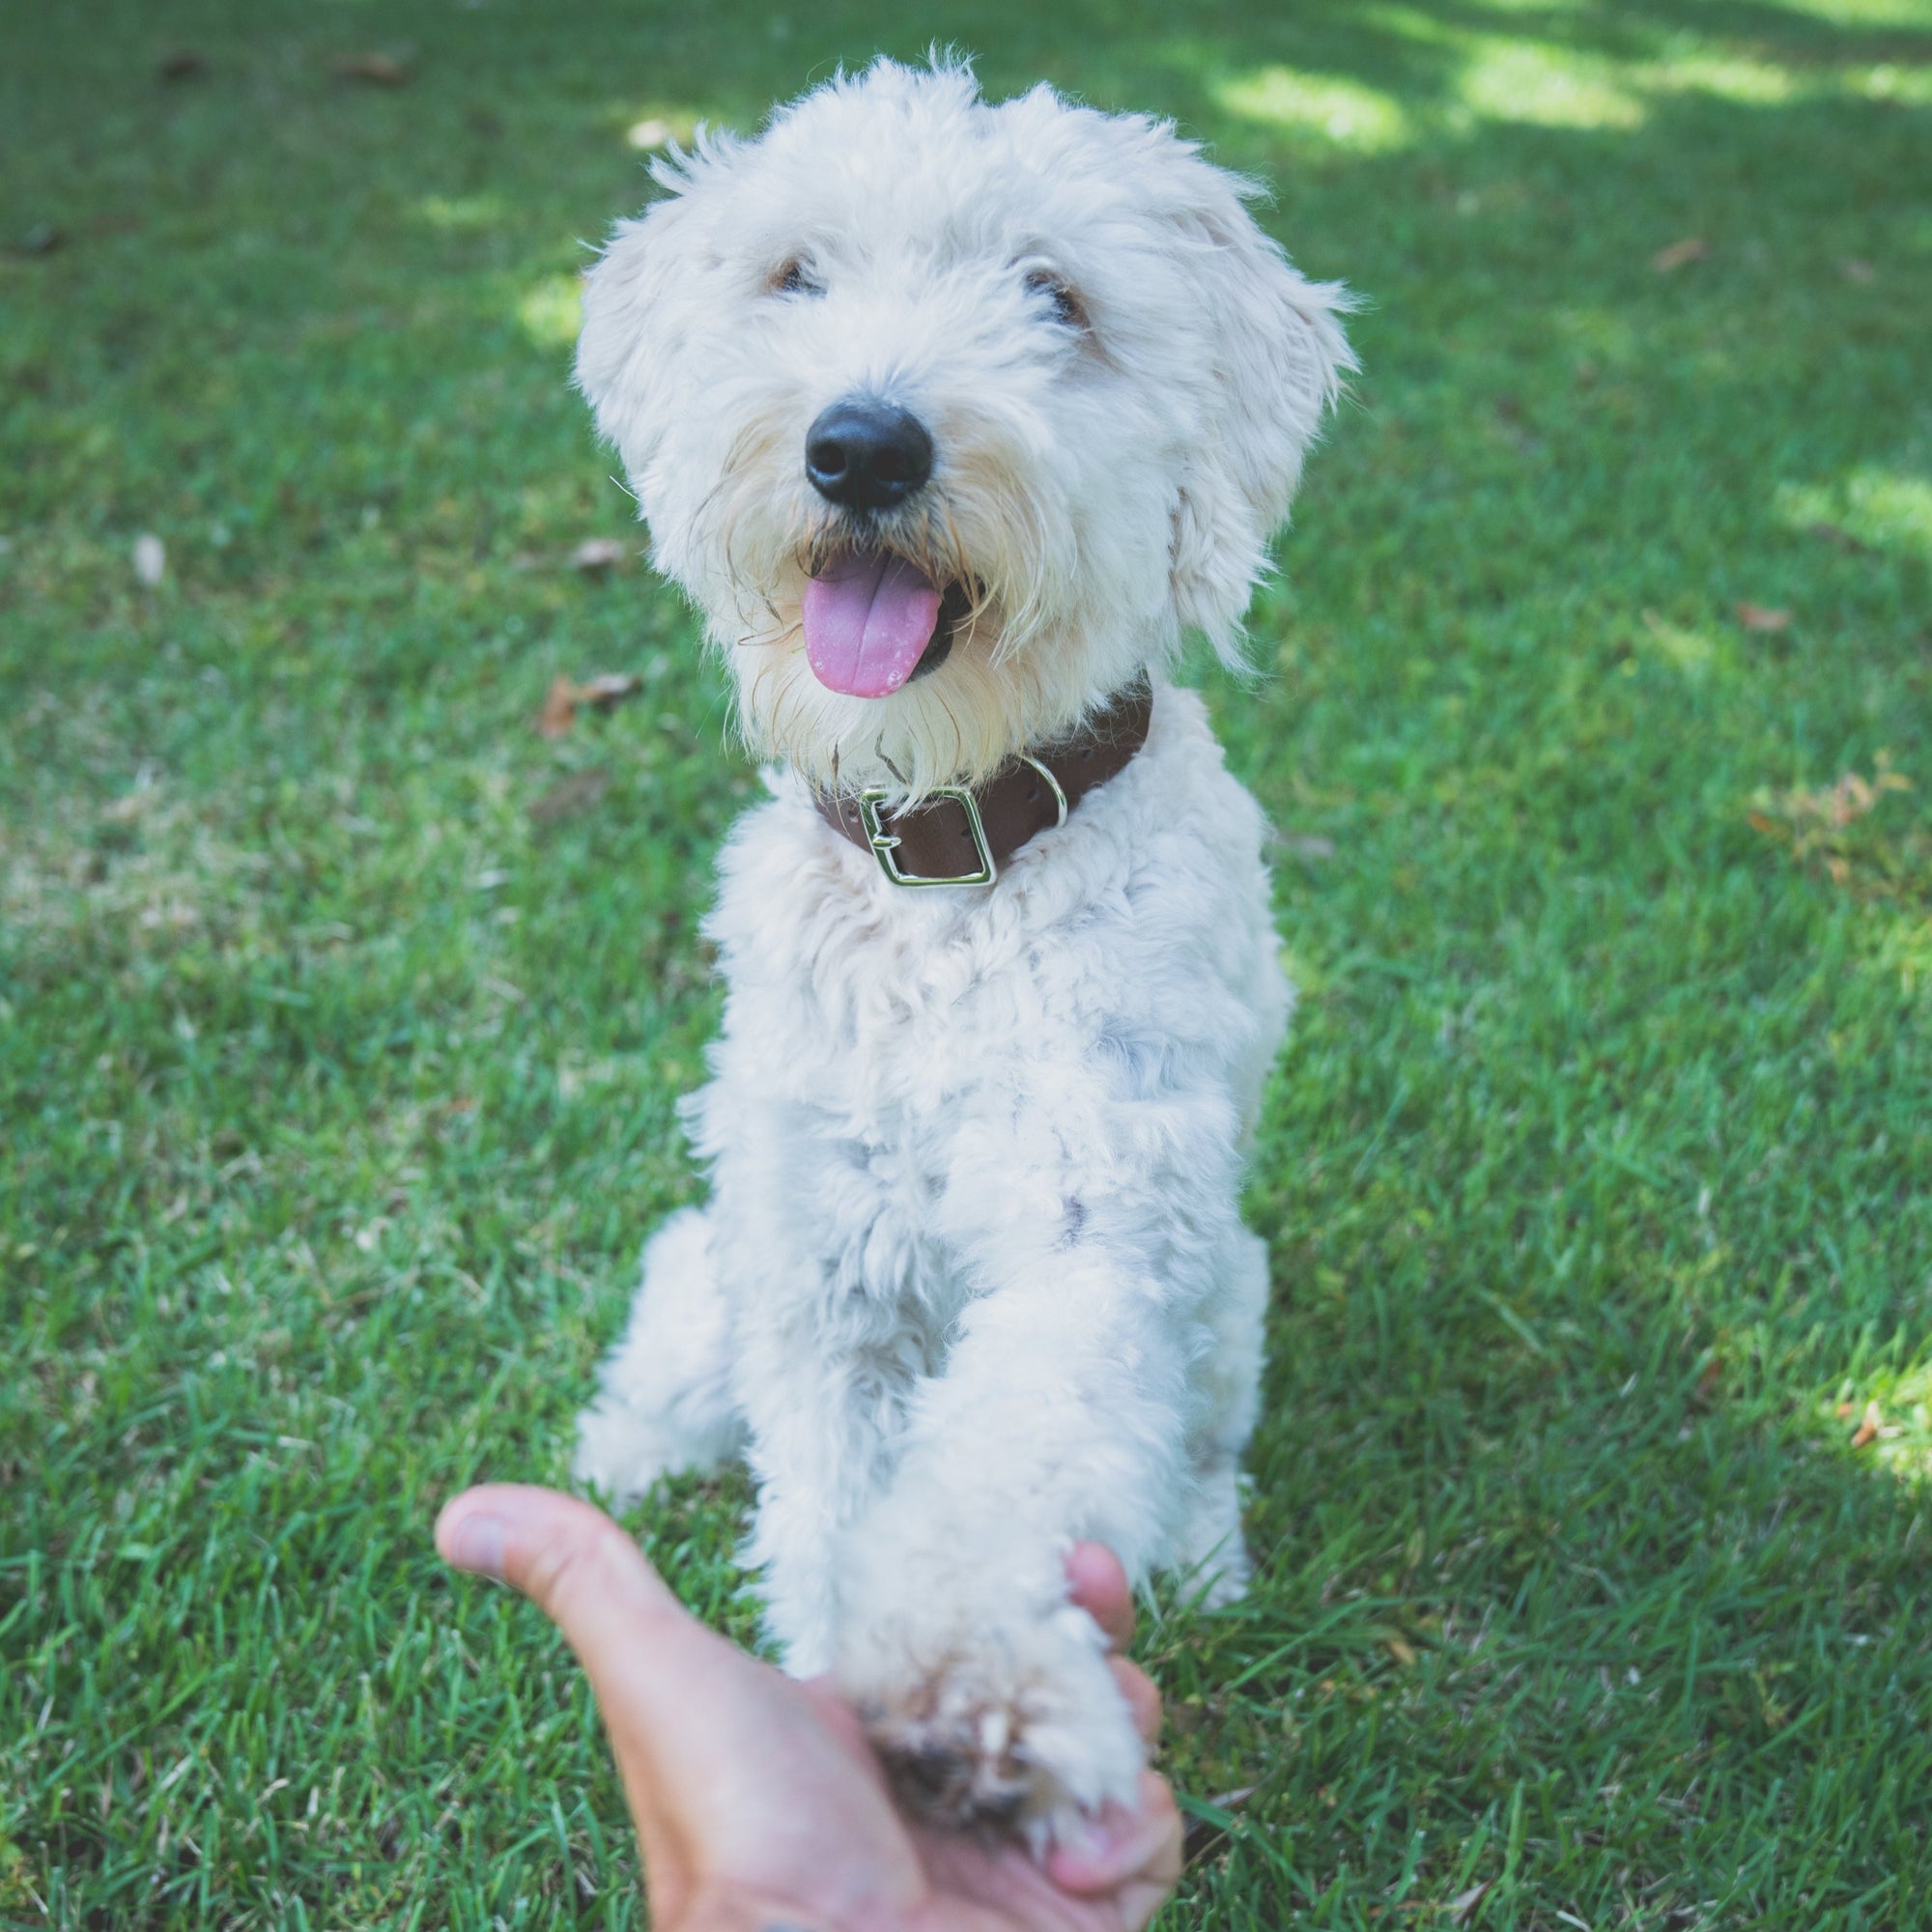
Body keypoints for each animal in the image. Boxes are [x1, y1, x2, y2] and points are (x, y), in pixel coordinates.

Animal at [564, 52, 1352, 1839]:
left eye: (1056, 297)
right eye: (796, 273)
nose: (863, 446)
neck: (947, 875)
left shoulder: (1093, 1234)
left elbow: (1006, 1466)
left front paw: (972, 1682)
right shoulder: (823, 1258)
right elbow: (825, 1497)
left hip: (1223, 1289)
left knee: (1202, 1441)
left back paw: (1198, 1558)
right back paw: (629, 1443)